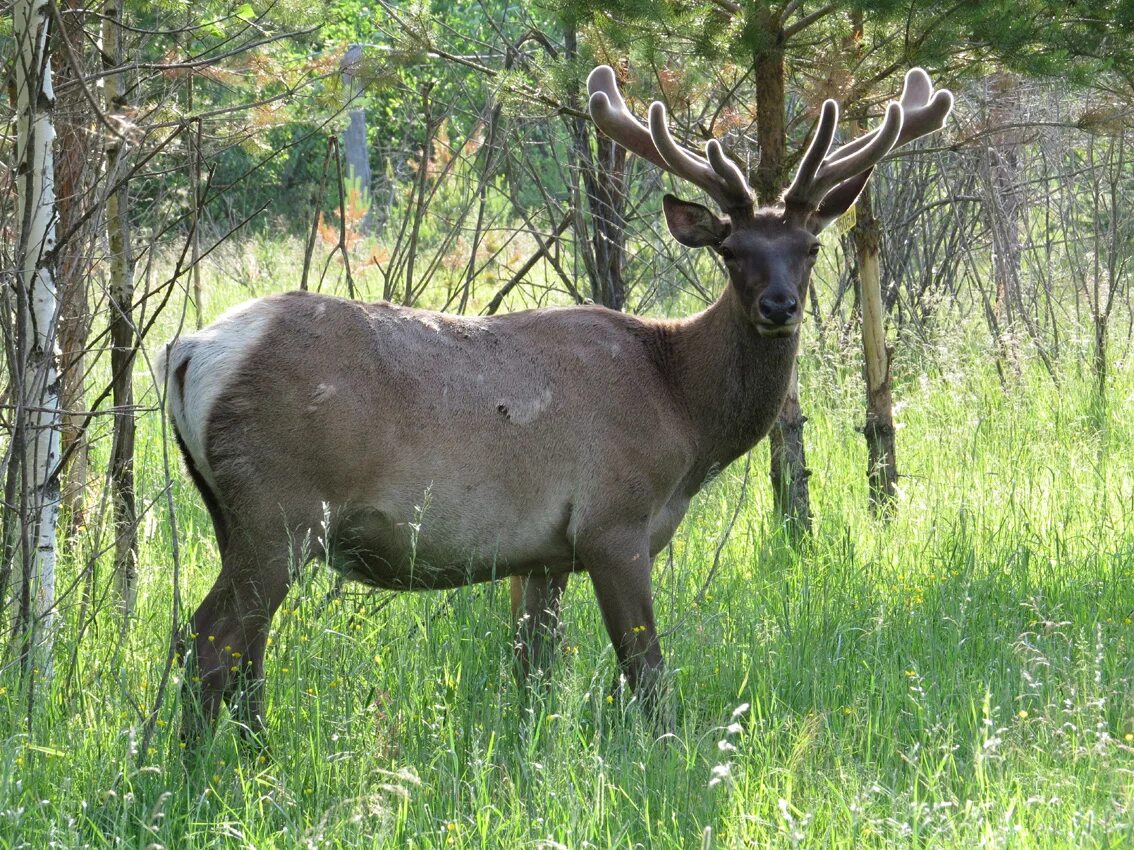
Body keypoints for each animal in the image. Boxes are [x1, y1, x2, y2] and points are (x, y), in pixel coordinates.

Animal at [164, 66, 952, 743]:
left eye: (811, 246)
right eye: (731, 252)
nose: (779, 306)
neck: (684, 414)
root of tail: (189, 350)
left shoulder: (539, 553)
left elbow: (533, 673)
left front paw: (532, 754)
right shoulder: (613, 521)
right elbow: (646, 669)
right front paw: (669, 751)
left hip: (233, 514)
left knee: (244, 646)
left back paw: (252, 753)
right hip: (280, 506)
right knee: (210, 636)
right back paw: (202, 768)